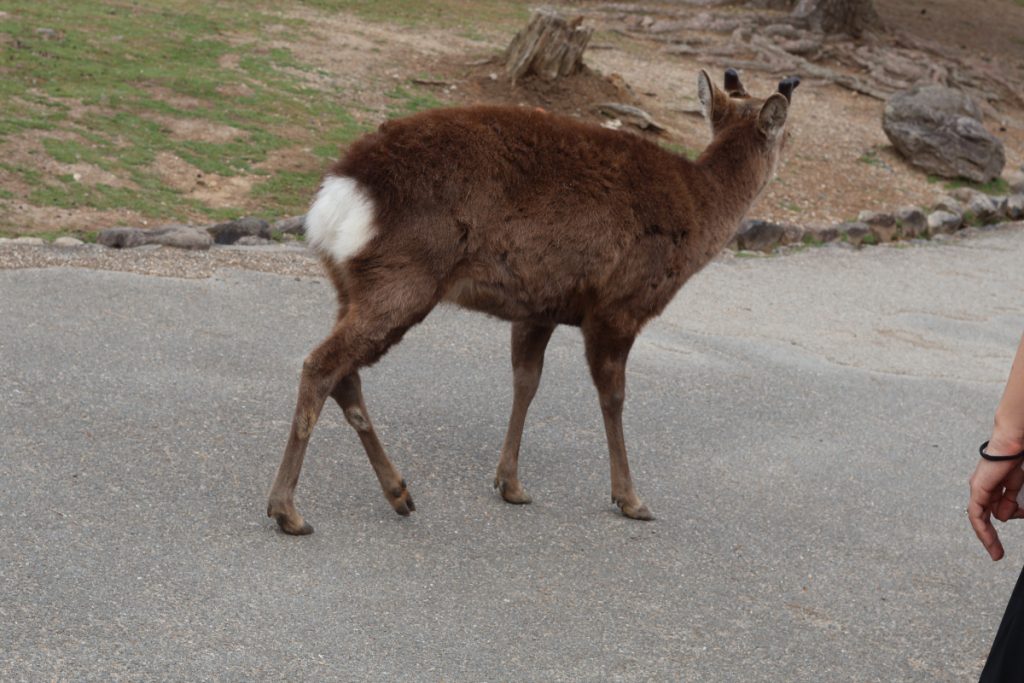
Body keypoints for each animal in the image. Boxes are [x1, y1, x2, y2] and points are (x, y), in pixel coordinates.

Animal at [267, 69, 799, 534]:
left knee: (345, 374)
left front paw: (510, 483)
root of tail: (337, 196)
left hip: (352, 284)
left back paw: (399, 492)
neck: (699, 215)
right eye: (788, 135)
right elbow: (614, 398)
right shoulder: (618, 305)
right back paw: (287, 510)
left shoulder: (540, 305)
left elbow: (526, 381)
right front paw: (630, 498)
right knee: (320, 364)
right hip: (403, 278)